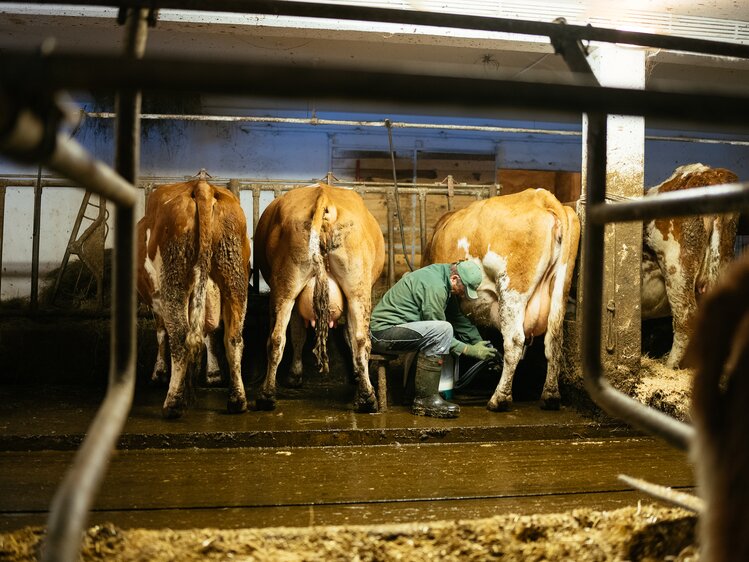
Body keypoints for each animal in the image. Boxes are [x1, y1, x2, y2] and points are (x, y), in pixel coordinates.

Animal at [136, 173, 250, 418]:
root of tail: (202, 187)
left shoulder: (157, 298)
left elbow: (161, 332)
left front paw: (159, 374)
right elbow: (210, 331)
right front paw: (213, 374)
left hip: (174, 278)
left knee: (180, 337)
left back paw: (173, 403)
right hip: (234, 275)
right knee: (233, 338)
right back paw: (237, 400)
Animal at [254, 183, 388, 412]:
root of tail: (324, 196)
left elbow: (298, 333)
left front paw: (294, 374)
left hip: (286, 286)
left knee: (277, 337)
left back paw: (267, 395)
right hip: (356, 287)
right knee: (361, 338)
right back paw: (367, 398)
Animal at [420, 186, 580, 410]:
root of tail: (540, 196)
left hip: (512, 288)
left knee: (514, 341)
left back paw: (499, 398)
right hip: (560, 288)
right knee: (554, 340)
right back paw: (550, 395)